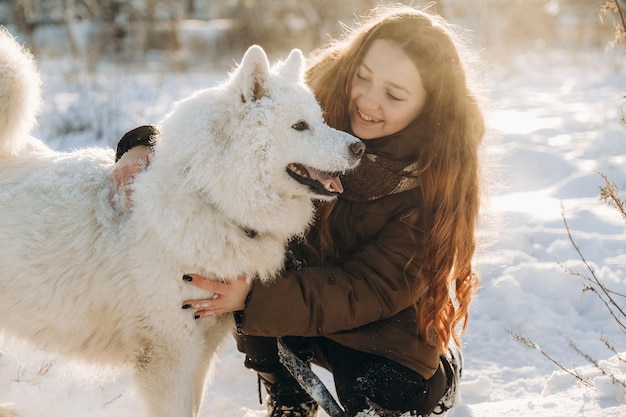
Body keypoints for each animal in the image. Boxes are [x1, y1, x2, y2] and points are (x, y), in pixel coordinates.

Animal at [0, 27, 364, 414]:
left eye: (320, 120)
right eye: (299, 126)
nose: (360, 148)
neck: (210, 199)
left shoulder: (202, 350)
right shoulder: (170, 355)